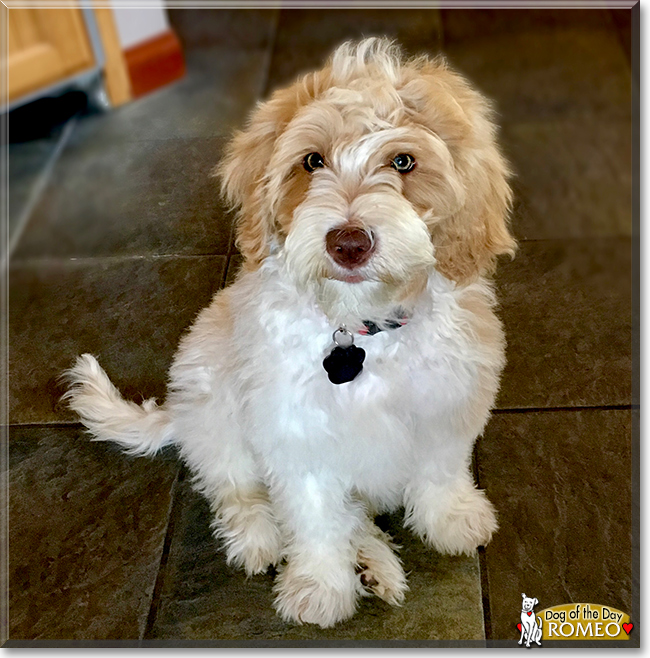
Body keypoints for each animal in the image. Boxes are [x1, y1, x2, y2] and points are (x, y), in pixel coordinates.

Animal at [63, 38, 512, 628]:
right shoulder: (296, 432)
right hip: (212, 400)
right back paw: (260, 537)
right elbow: (315, 514)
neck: (360, 330)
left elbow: (439, 469)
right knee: (234, 486)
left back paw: (373, 563)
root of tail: (180, 413)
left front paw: (452, 519)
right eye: (312, 161)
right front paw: (320, 586)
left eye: (403, 161)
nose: (349, 243)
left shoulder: (446, 403)